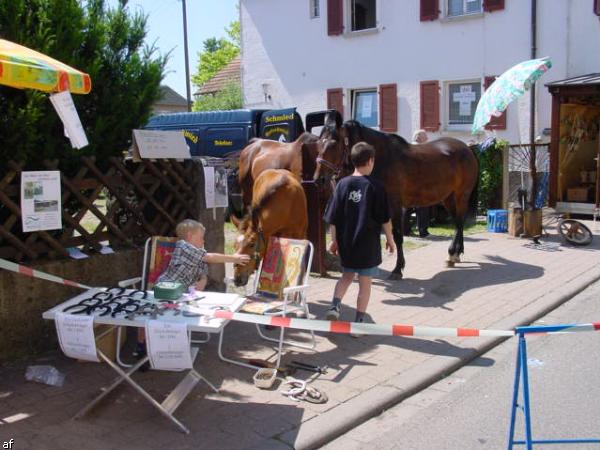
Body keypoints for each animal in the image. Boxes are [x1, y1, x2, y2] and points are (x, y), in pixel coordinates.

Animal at [314, 112, 478, 280]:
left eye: (334, 144)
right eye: (318, 143)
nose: (319, 179)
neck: (381, 159)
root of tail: (467, 148)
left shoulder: (394, 205)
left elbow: (397, 235)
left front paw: (397, 269)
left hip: (461, 195)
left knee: (459, 222)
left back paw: (453, 254)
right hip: (448, 198)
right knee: (458, 221)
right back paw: (456, 254)